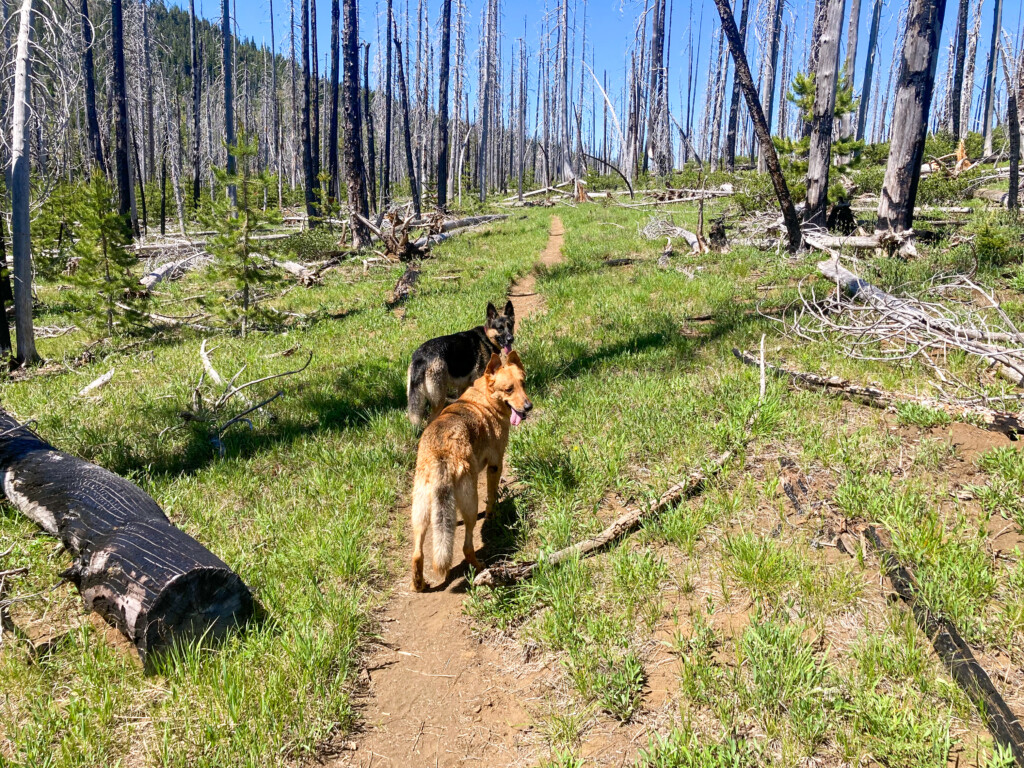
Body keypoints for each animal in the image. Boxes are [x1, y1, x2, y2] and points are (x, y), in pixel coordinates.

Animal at [409, 352, 532, 593]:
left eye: (523, 383)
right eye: (509, 389)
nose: (528, 407)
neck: (485, 398)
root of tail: (441, 455)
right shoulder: (495, 465)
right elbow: (492, 498)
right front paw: (493, 515)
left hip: (420, 513)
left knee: (417, 554)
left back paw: (419, 584)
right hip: (470, 502)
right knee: (467, 548)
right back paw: (481, 567)